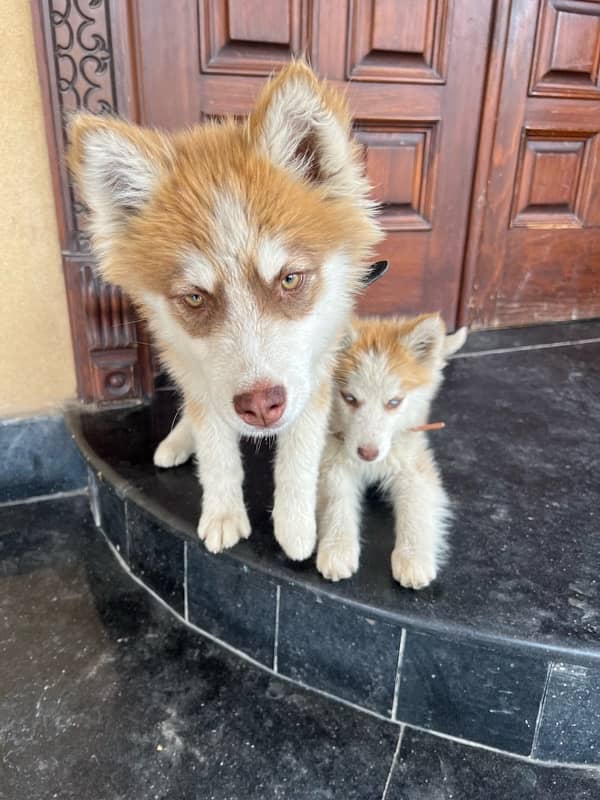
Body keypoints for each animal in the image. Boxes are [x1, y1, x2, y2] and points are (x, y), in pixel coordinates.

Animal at [68, 61, 380, 564]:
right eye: (195, 298)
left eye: (290, 279)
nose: (261, 407)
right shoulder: (205, 383)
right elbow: (217, 455)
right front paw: (222, 514)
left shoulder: (313, 377)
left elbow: (298, 457)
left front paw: (295, 525)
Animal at [316, 318, 466, 588]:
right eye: (349, 398)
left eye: (394, 402)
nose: (368, 453)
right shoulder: (333, 463)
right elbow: (336, 504)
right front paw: (337, 548)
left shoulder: (413, 468)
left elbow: (416, 509)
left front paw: (413, 557)